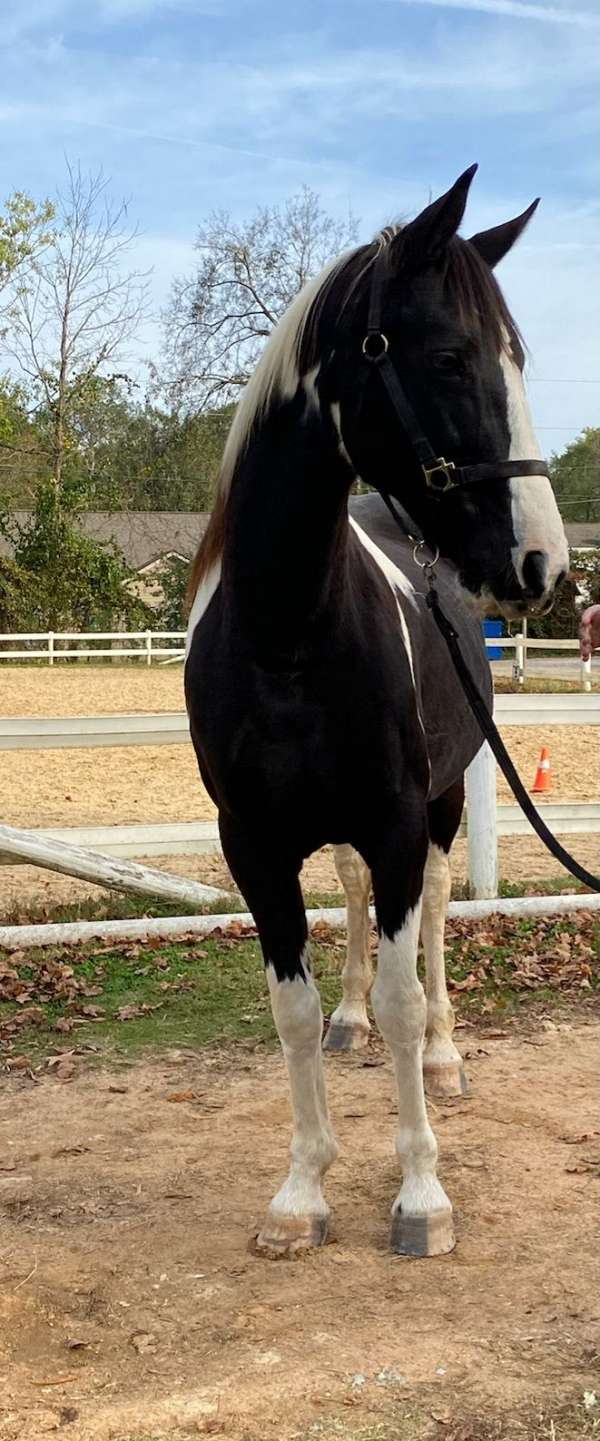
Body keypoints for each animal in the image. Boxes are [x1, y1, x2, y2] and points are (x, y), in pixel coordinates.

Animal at [184, 165, 568, 1259]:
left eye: (515, 360)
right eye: (449, 357)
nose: (544, 563)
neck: (286, 633)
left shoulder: (400, 820)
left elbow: (403, 992)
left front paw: (420, 1191)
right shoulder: (253, 842)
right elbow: (290, 1005)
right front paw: (301, 1189)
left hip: (442, 803)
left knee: (432, 916)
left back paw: (441, 1056)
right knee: (353, 903)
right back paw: (350, 1021)